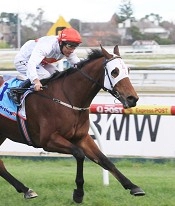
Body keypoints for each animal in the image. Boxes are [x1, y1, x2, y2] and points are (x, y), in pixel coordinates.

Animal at [0, 44, 145, 203]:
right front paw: (79, 193)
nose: (132, 98)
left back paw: (26, 190)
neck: (68, 98)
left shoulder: (82, 138)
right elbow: (79, 154)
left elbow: (105, 160)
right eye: (114, 72)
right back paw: (26, 189)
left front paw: (133, 186)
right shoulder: (48, 140)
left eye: (128, 70)